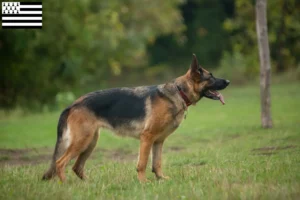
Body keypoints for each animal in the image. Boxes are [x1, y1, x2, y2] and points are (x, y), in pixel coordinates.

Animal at [42, 54, 230, 182]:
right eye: (211, 77)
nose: (228, 81)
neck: (179, 91)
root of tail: (73, 104)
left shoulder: (158, 141)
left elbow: (157, 163)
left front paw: (161, 179)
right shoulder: (147, 138)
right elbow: (143, 163)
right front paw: (144, 182)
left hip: (90, 142)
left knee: (76, 167)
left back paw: (87, 185)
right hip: (82, 141)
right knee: (60, 163)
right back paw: (67, 184)